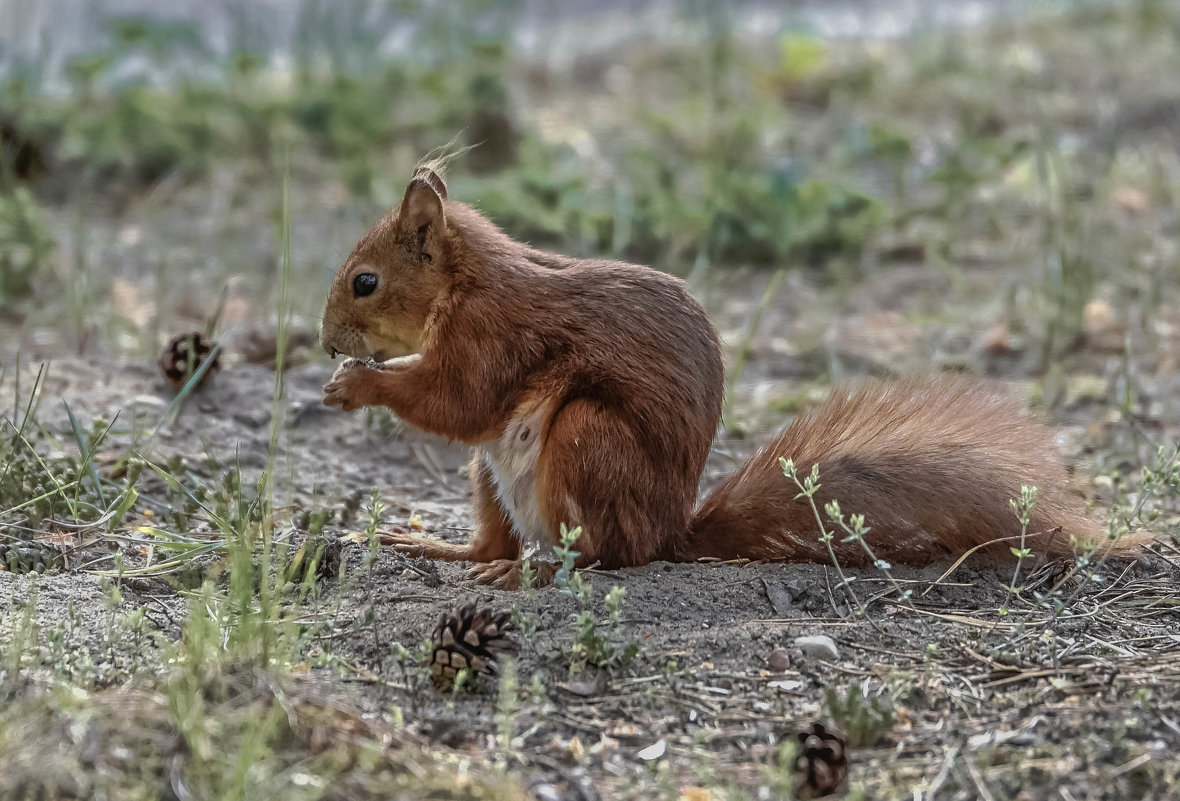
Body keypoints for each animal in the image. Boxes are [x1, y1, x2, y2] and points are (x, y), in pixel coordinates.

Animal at [318, 163, 1118, 589]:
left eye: (365, 282)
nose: (326, 344)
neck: (467, 282)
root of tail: (671, 532)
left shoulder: (494, 335)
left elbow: (458, 400)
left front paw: (361, 384)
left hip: (586, 439)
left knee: (600, 556)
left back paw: (529, 574)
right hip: (491, 476)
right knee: (498, 539)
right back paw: (447, 550)